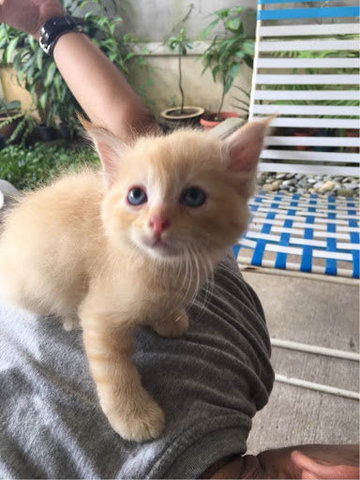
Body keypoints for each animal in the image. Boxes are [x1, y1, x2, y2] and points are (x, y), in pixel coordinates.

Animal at [0, 120, 268, 442]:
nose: (157, 222)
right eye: (136, 196)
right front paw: (134, 416)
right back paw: (69, 318)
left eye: (193, 197)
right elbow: (114, 371)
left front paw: (169, 319)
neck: (162, 268)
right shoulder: (100, 315)